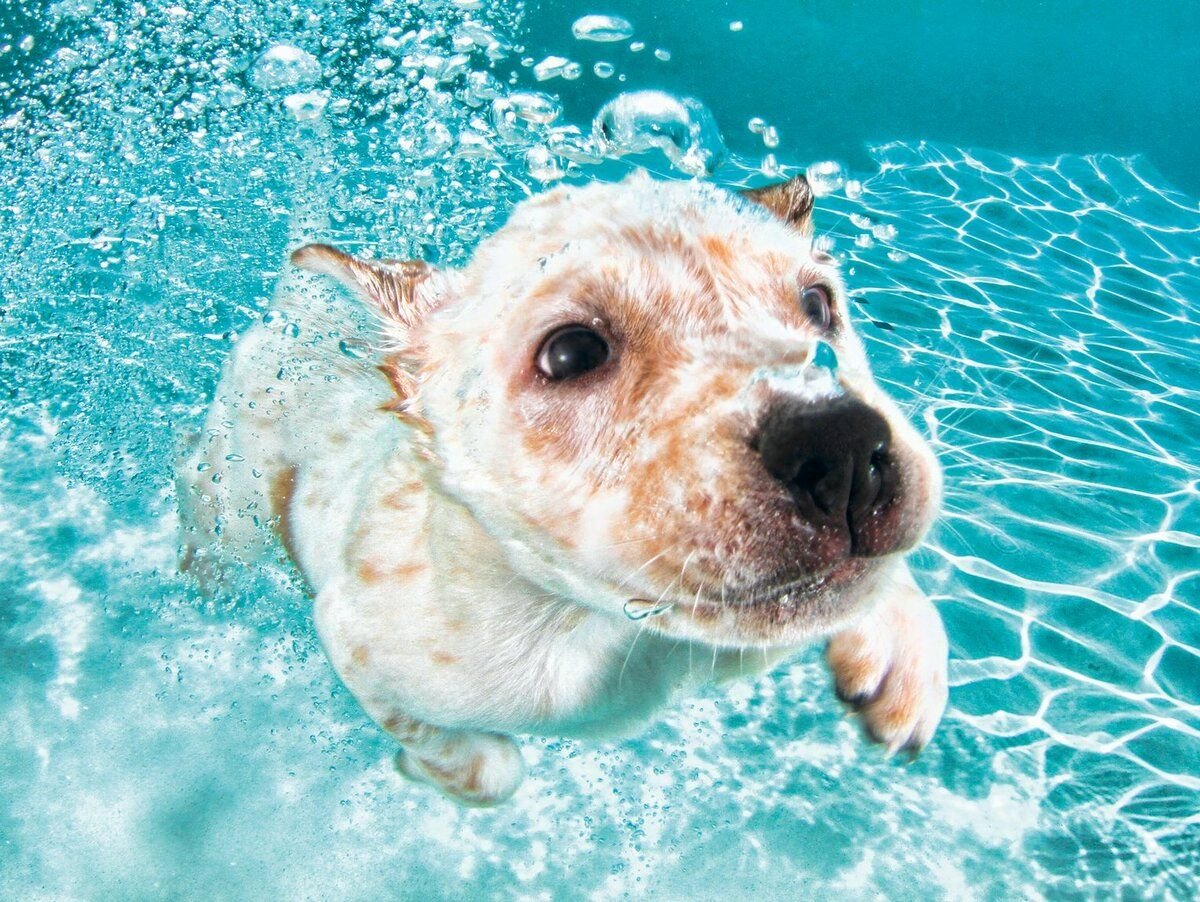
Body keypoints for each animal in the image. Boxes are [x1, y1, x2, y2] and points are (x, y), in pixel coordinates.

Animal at [177, 172, 945, 806]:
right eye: (572, 354)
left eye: (818, 304)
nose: (841, 444)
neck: (619, 629)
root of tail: (300, 308)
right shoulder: (356, 639)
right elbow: (490, 771)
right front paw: (429, 770)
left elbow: (879, 579)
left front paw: (903, 651)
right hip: (235, 482)